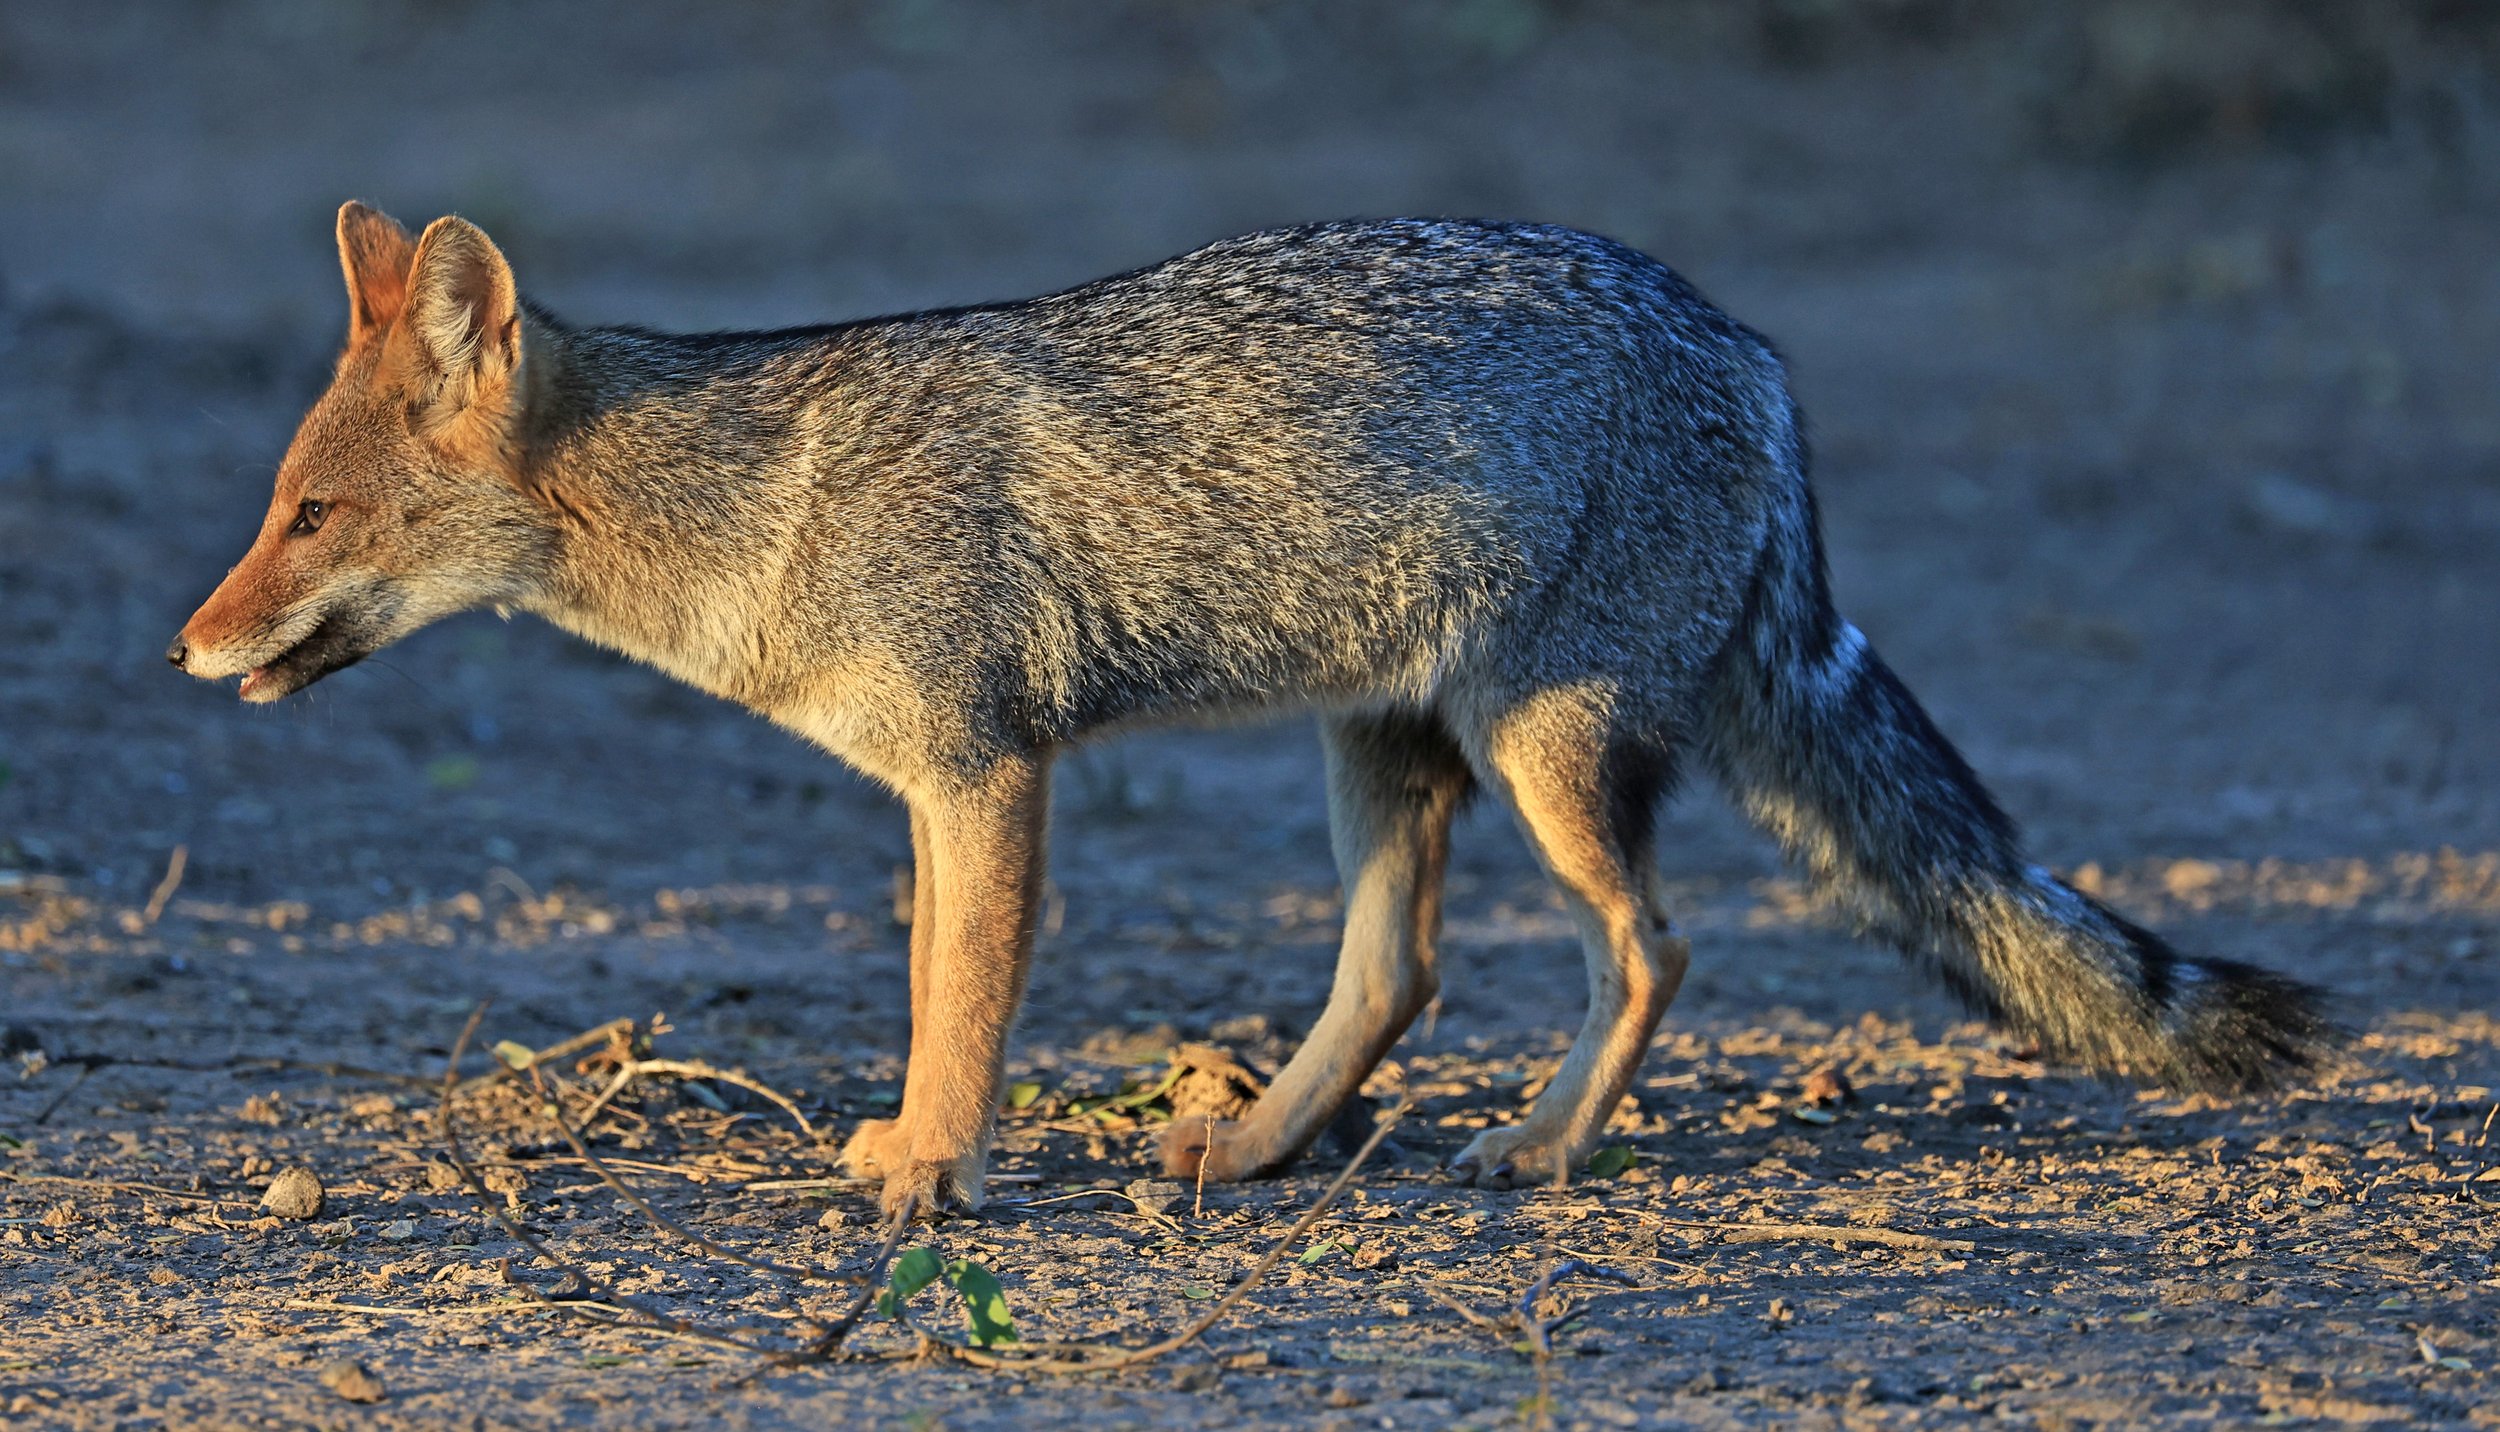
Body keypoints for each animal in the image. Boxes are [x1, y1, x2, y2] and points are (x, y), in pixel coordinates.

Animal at [171, 202, 2334, 1220]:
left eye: (308, 517)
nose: (188, 652)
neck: (762, 501)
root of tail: (1753, 346)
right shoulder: (947, 786)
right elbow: (943, 993)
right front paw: (924, 1151)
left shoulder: (986, 773)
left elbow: (960, 1008)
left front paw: (931, 1172)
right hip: (1383, 754)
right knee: (1399, 974)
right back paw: (1268, 1143)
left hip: (1542, 761)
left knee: (1648, 947)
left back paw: (1543, 1149)